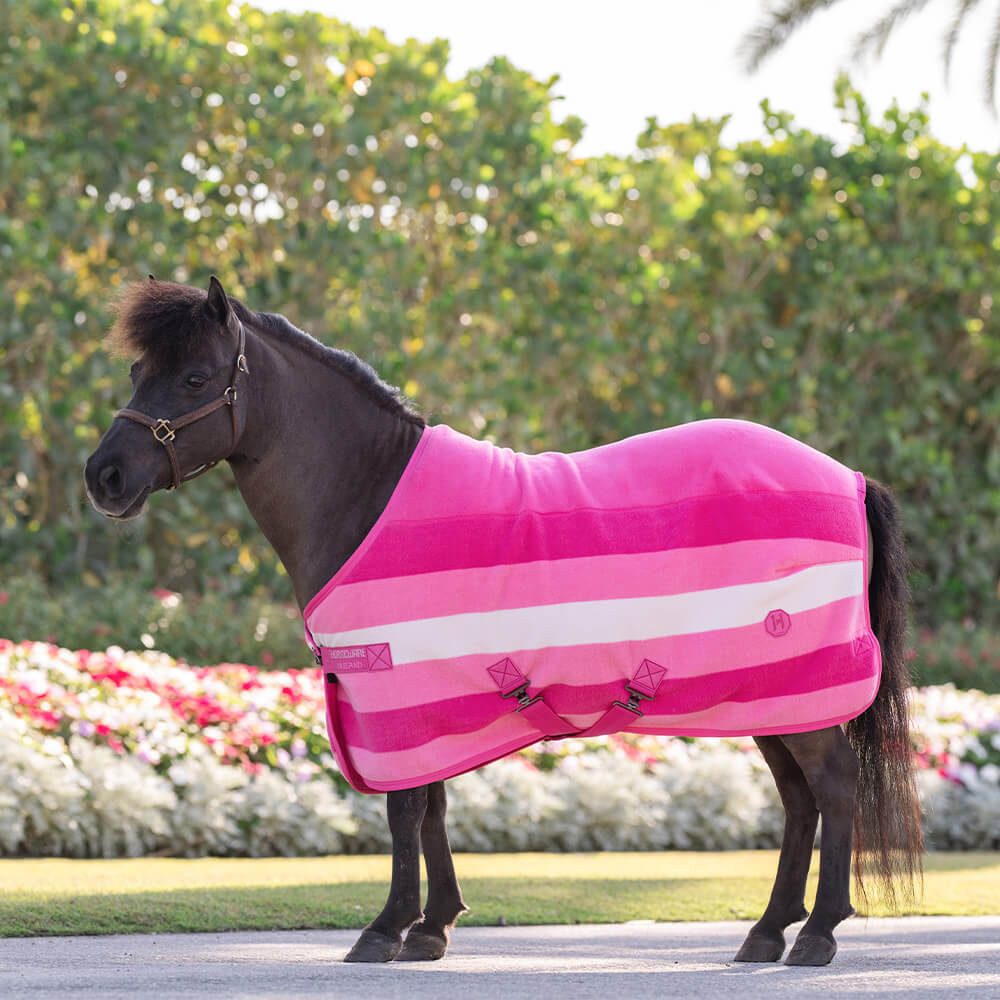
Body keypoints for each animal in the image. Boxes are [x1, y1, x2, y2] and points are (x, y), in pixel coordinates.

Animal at [85, 276, 922, 967]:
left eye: (195, 377)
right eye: (136, 374)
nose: (105, 476)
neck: (368, 496)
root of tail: (850, 478)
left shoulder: (399, 689)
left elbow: (405, 810)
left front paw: (385, 930)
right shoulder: (429, 702)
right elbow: (431, 806)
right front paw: (432, 928)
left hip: (799, 689)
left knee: (834, 787)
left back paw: (817, 934)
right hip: (766, 694)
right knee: (799, 800)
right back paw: (766, 932)